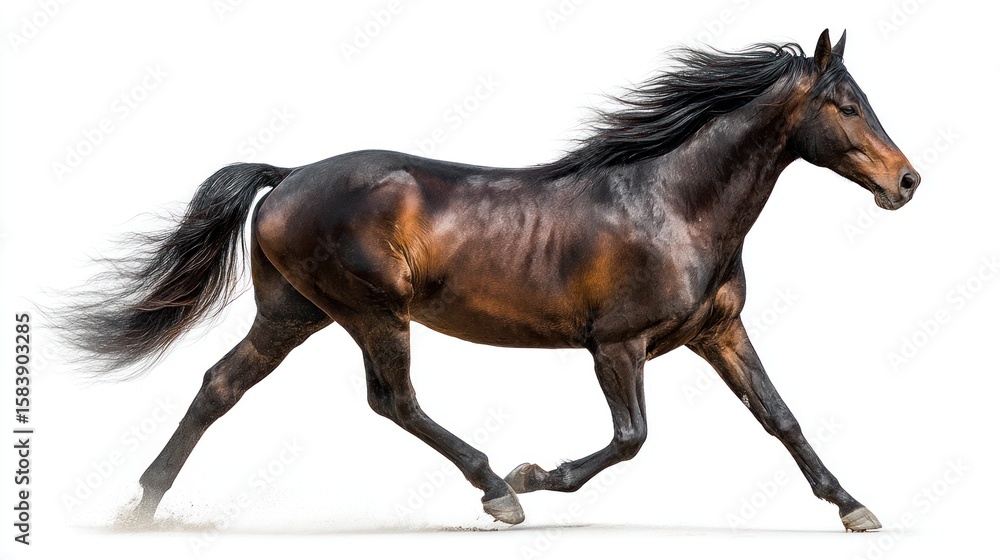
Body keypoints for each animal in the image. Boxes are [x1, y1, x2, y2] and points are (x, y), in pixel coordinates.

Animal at [60, 30, 918, 532]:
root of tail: (289, 175)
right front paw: (531, 475)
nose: (907, 182)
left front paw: (854, 508)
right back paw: (494, 488)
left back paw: (141, 505)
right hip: (372, 310)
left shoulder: (719, 332)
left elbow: (782, 418)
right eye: (845, 105)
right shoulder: (617, 344)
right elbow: (631, 438)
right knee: (393, 400)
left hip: (293, 313)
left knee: (220, 385)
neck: (673, 203)